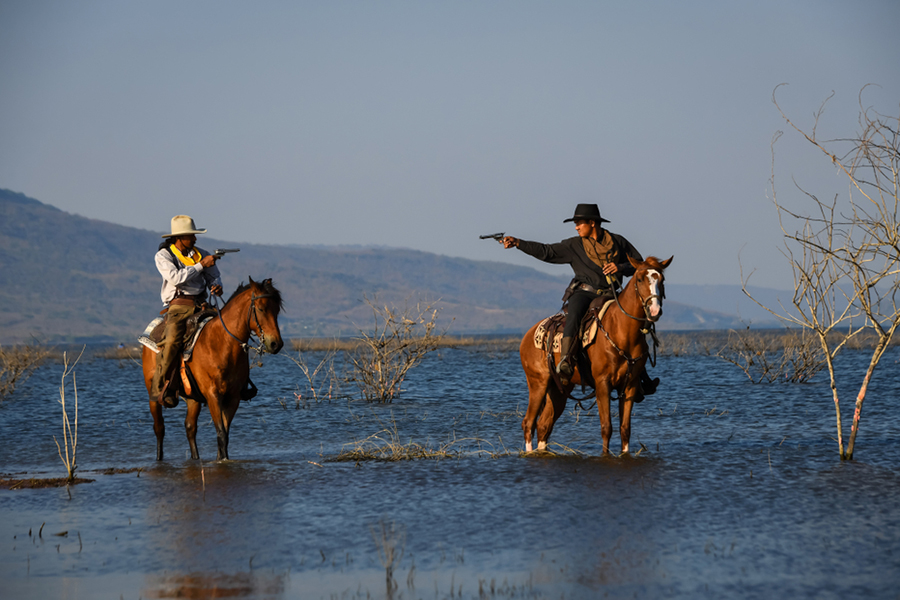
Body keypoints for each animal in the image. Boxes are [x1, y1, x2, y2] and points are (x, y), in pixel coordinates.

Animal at [142, 276, 284, 460]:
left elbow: (225, 435)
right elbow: (221, 433)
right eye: (261, 308)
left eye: (277, 310)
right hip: (153, 393)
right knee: (159, 428)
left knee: (190, 428)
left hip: (192, 398)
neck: (221, 344)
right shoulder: (213, 396)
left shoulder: (233, 397)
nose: (276, 344)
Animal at [516, 256, 672, 454]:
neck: (621, 331)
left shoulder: (629, 385)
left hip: (559, 389)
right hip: (538, 383)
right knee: (528, 423)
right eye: (639, 279)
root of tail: (529, 335)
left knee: (544, 425)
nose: (654, 311)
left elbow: (625, 429)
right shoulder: (602, 384)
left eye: (662, 280)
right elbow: (606, 428)